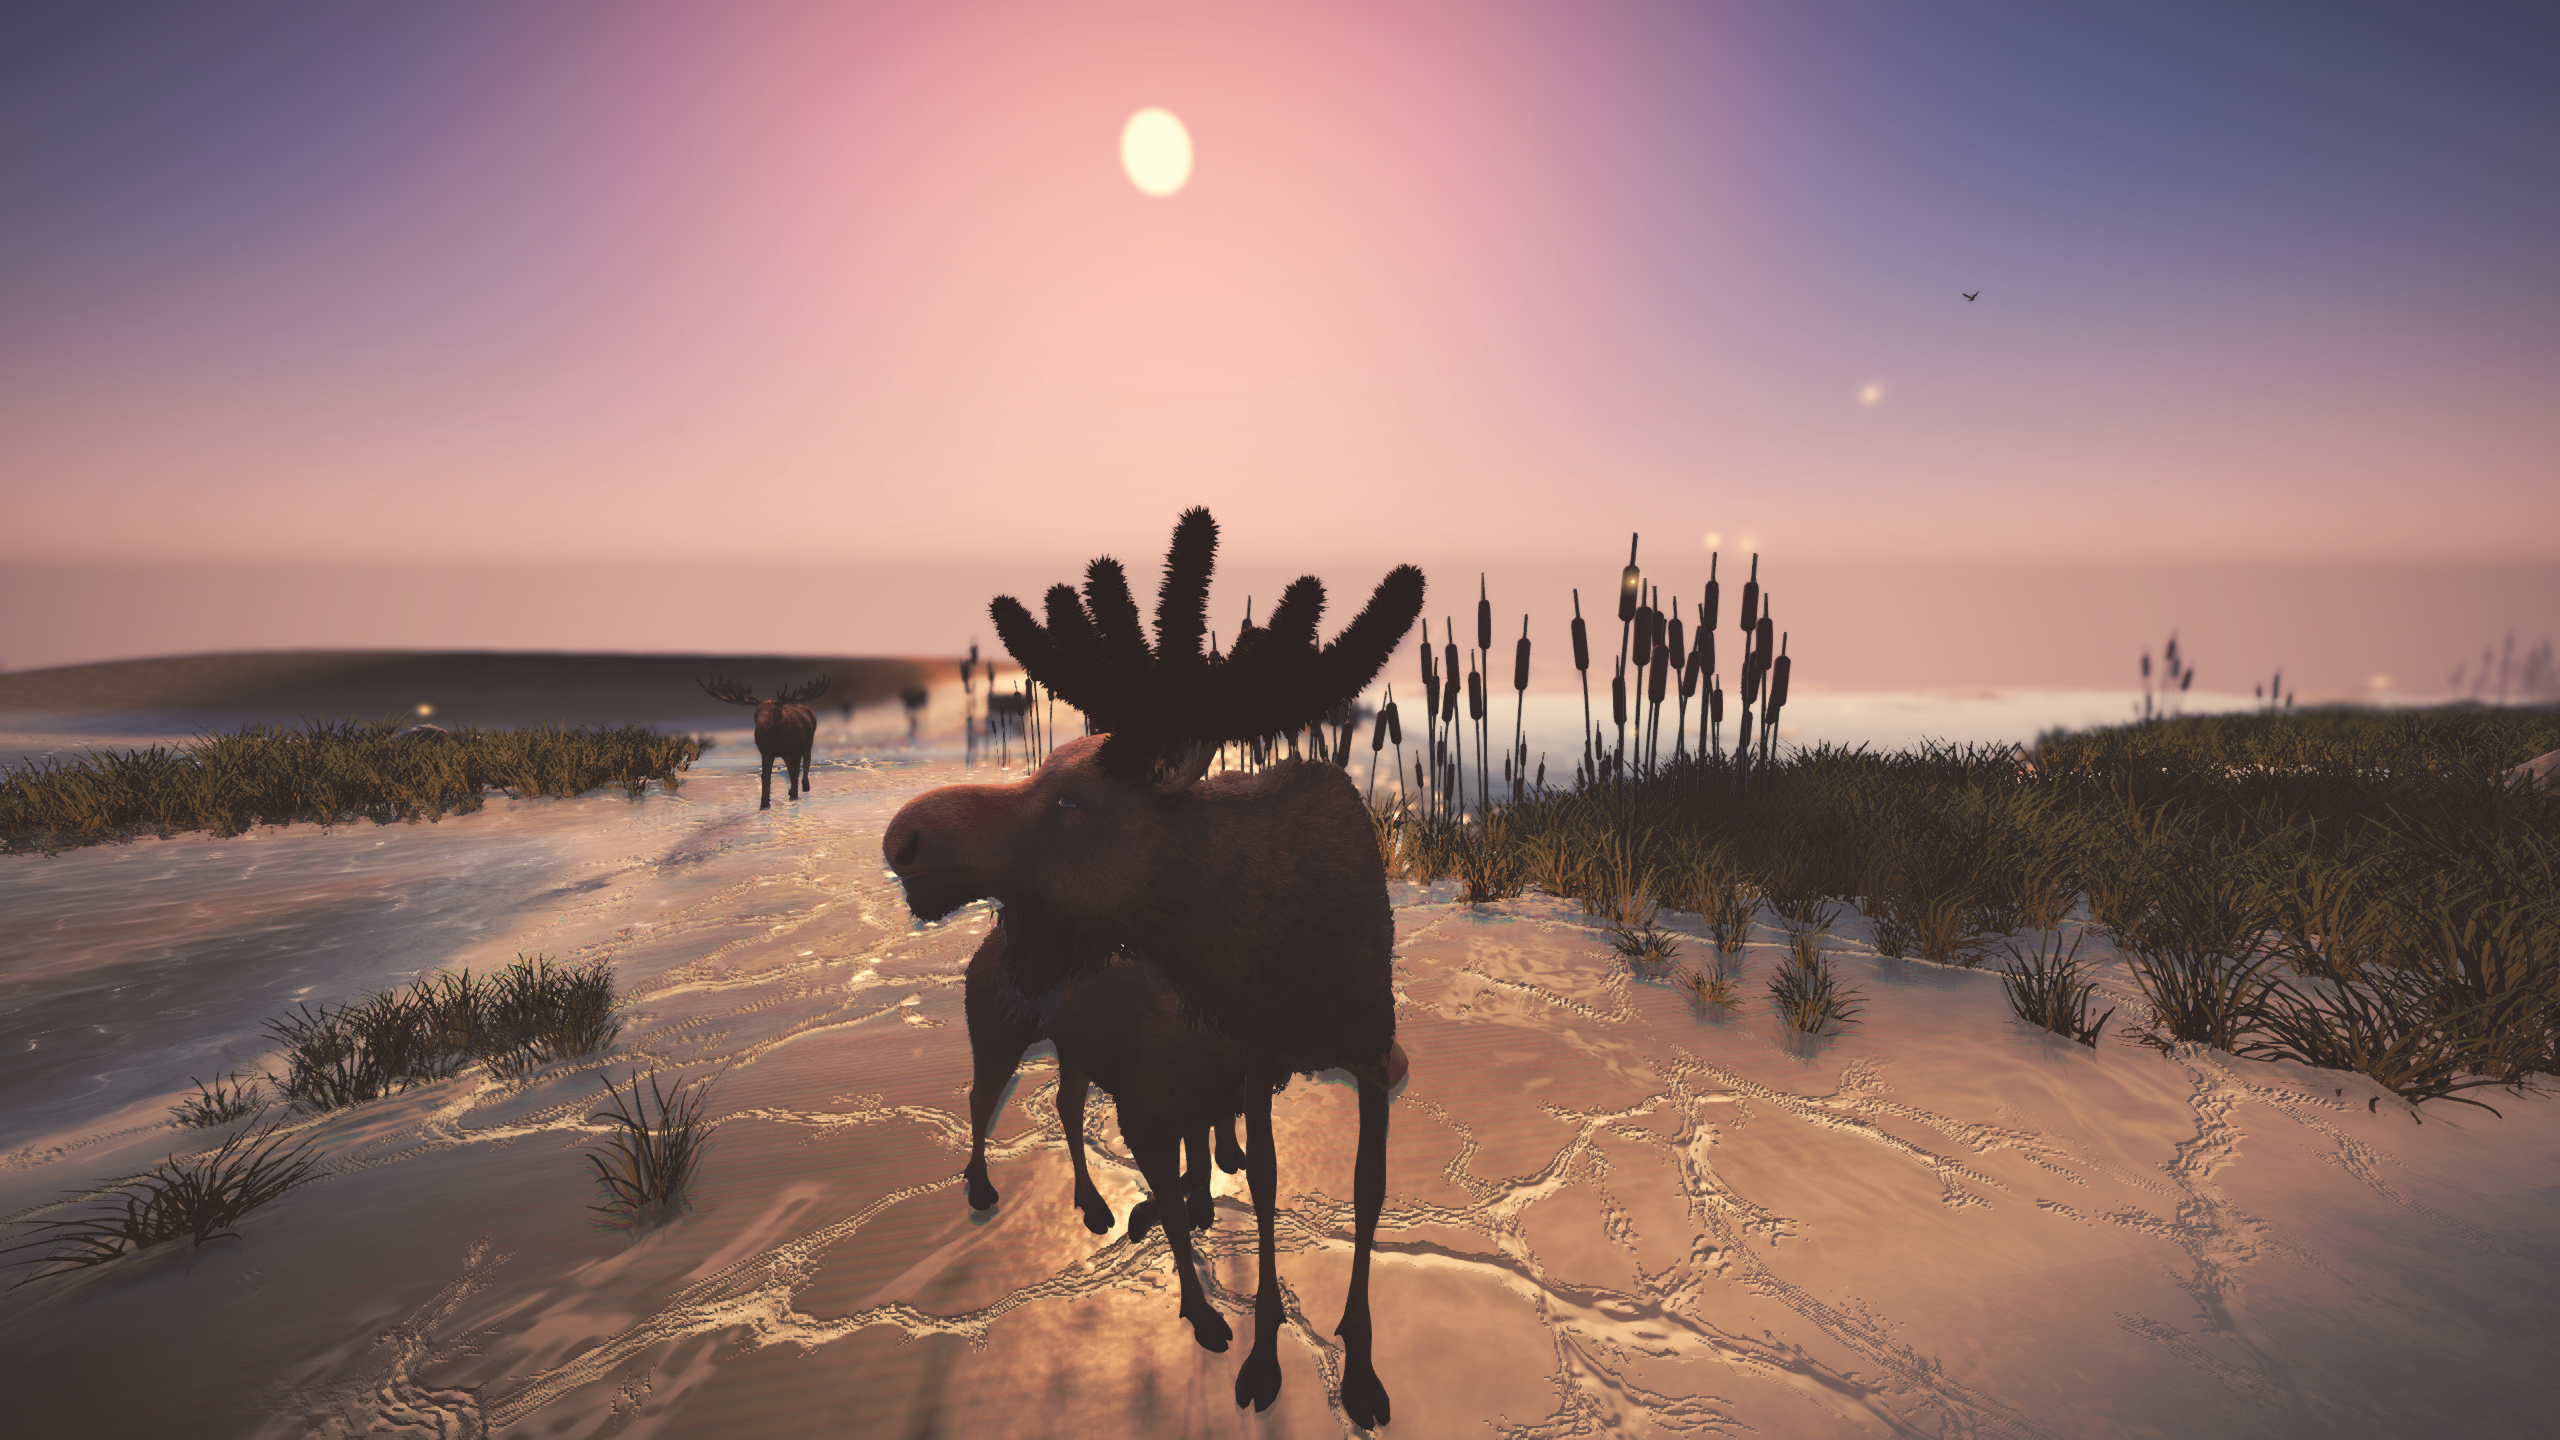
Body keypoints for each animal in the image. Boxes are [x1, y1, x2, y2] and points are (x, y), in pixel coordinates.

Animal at [697, 674, 830, 809]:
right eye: (756, 711)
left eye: (776, 711)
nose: (761, 725)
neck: (777, 741)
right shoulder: (766, 752)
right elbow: (766, 777)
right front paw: (764, 805)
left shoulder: (797, 750)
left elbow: (795, 772)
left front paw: (794, 797)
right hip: (786, 752)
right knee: (789, 764)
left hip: (808, 741)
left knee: (807, 760)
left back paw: (805, 787)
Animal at [885, 507, 1422, 1429]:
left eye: (1070, 802)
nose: (904, 838)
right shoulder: (1250, 1061)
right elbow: (1263, 1190)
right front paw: (1260, 1357)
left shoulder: (1355, 1053)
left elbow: (1364, 1192)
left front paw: (1360, 1370)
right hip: (1002, 1035)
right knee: (981, 1100)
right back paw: (991, 1190)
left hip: (1071, 1051)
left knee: (1066, 1105)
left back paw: (1100, 1201)